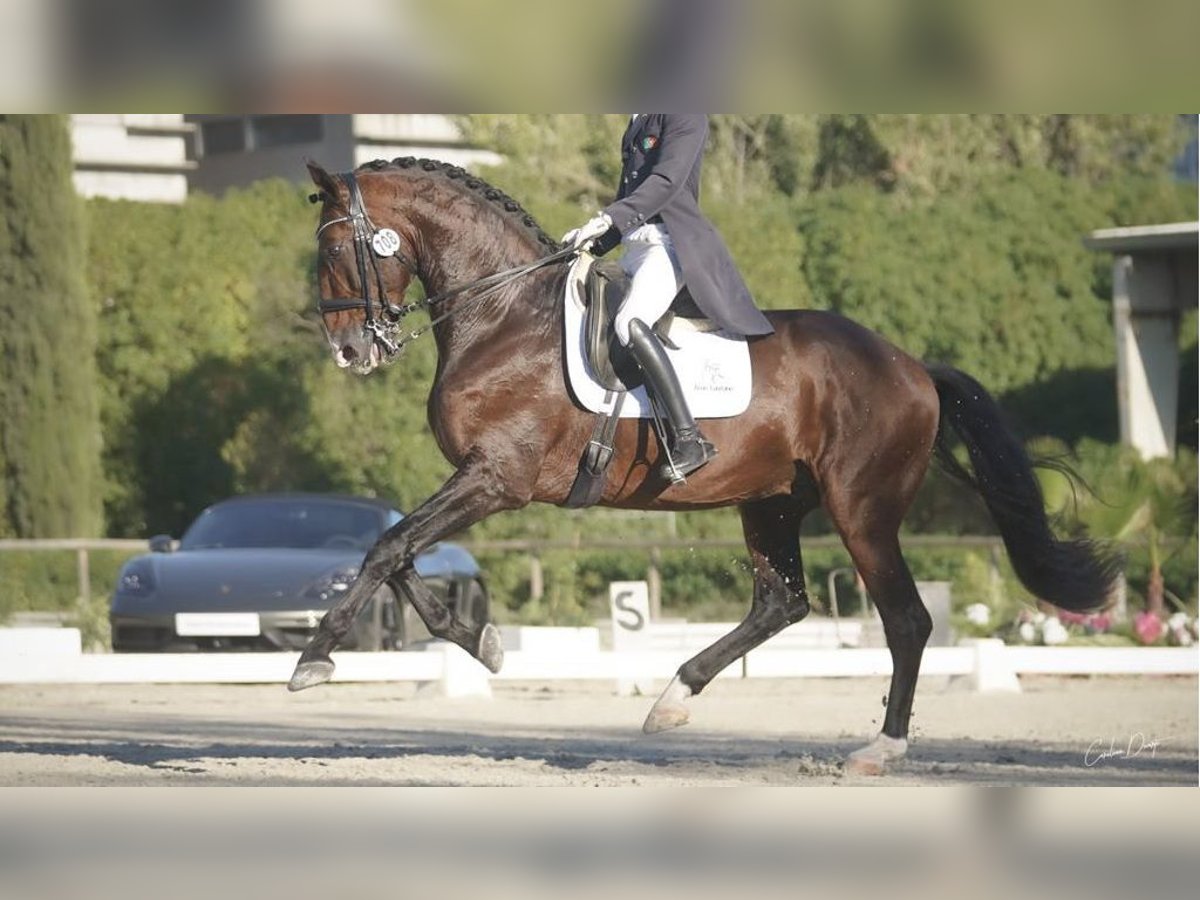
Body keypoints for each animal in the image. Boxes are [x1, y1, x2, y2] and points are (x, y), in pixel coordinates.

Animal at [292, 157, 1113, 777]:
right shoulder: (478, 480)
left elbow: (387, 547)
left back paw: (879, 748)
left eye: (332, 252)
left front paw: (314, 660)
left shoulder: (497, 477)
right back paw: (672, 700)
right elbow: (398, 551)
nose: (350, 350)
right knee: (782, 603)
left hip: (862, 509)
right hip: (772, 502)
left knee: (905, 619)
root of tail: (910, 364)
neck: (505, 316)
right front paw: (476, 641)